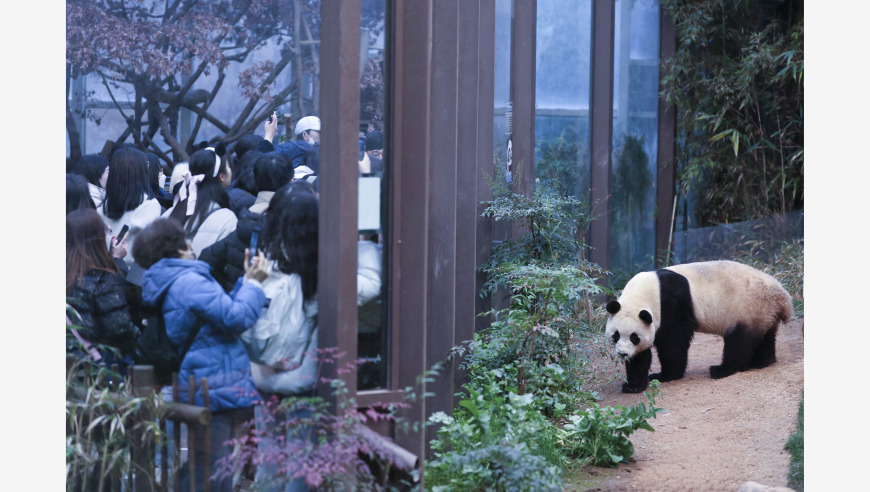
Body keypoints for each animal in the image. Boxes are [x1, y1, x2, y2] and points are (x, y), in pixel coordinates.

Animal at [608, 260, 796, 394]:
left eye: (634, 337)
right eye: (615, 335)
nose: (622, 353)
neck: (647, 292)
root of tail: (782, 297)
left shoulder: (671, 305)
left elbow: (673, 341)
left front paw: (666, 375)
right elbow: (641, 356)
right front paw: (633, 385)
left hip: (748, 308)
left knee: (740, 342)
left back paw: (722, 370)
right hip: (763, 313)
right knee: (765, 336)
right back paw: (762, 361)